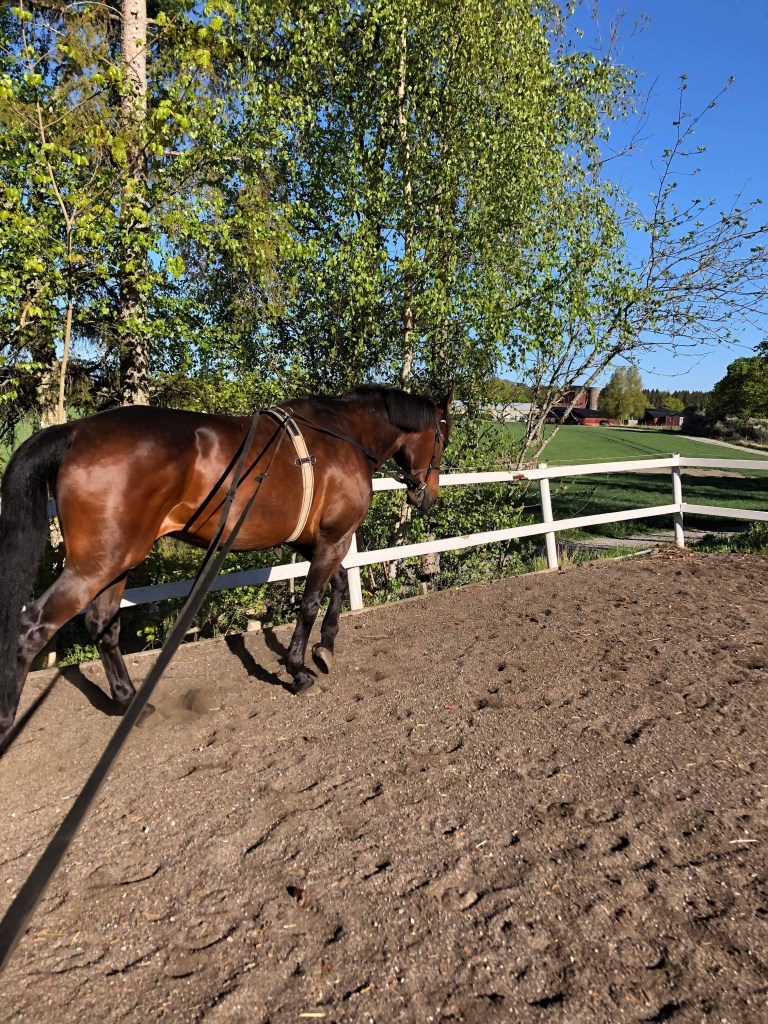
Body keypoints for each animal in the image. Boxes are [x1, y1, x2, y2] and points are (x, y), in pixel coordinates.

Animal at [0, 385, 451, 741]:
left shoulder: (311, 540)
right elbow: (309, 603)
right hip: (96, 566)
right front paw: (299, 670)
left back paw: (133, 704)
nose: (427, 495)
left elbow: (338, 585)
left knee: (102, 627)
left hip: (116, 564)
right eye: (442, 439)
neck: (344, 435)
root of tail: (76, 431)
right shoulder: (333, 538)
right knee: (33, 629)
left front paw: (325, 647)